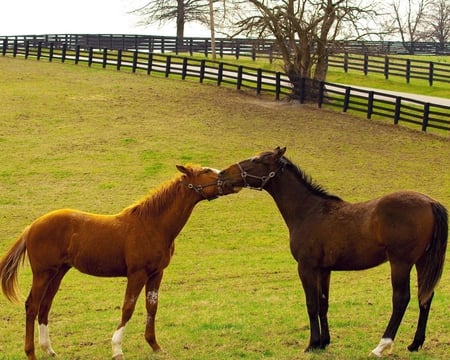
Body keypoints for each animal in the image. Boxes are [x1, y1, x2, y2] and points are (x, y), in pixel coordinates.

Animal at [0, 165, 236, 360]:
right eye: (206, 171)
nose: (231, 179)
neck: (152, 225)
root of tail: (31, 227)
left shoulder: (156, 273)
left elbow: (152, 307)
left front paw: (155, 345)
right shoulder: (137, 274)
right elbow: (128, 308)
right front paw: (117, 349)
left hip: (58, 273)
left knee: (45, 306)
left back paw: (48, 349)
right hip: (43, 273)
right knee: (32, 306)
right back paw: (31, 353)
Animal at [218, 147, 446, 358]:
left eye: (256, 160)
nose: (222, 174)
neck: (309, 211)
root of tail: (429, 202)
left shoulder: (306, 267)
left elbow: (311, 304)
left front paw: (312, 344)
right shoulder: (324, 270)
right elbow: (323, 304)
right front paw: (323, 342)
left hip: (400, 263)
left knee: (401, 299)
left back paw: (381, 346)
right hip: (422, 262)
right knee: (425, 296)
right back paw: (415, 344)